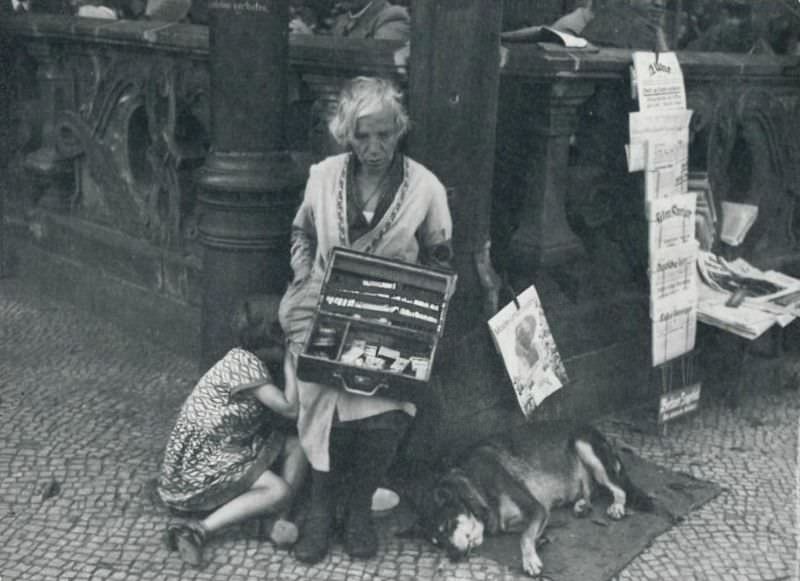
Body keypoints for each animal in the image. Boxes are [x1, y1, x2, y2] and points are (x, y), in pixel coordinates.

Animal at [416, 424, 652, 576]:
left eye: (447, 525)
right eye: (437, 543)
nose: (454, 556)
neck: (476, 484)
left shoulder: (536, 508)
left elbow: (524, 537)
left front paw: (530, 559)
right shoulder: (518, 520)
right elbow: (523, 531)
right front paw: (539, 541)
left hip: (585, 447)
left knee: (619, 489)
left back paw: (617, 506)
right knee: (590, 492)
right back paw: (582, 505)